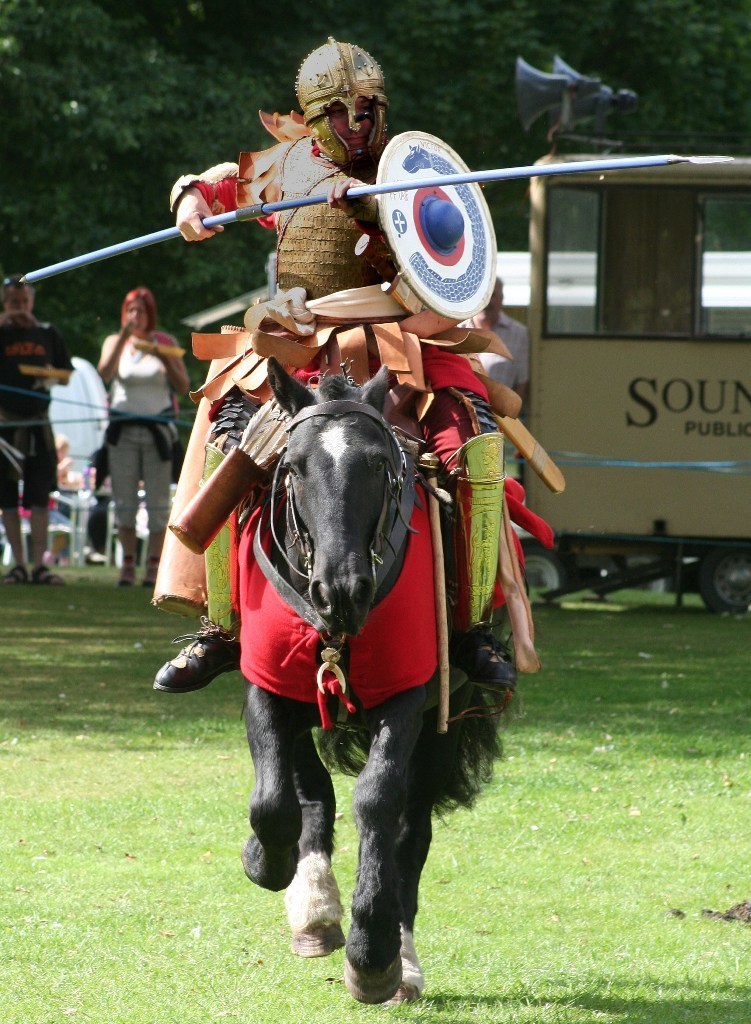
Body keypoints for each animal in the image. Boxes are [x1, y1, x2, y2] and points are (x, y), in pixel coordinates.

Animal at [241, 358, 504, 999]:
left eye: (380, 464)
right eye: (294, 465)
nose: (342, 589)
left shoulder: (410, 698)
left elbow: (379, 800)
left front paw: (373, 950)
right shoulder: (269, 685)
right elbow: (276, 799)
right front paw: (270, 863)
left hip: (442, 726)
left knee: (411, 828)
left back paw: (399, 959)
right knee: (308, 789)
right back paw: (313, 909)